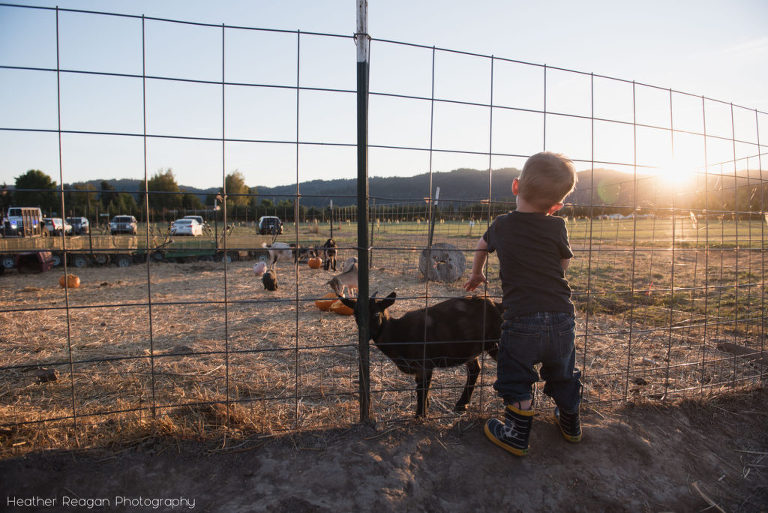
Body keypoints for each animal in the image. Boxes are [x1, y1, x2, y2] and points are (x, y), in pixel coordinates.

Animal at [339, 292, 501, 417]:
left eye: (376, 314)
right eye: (355, 314)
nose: (364, 336)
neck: (397, 332)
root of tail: (497, 304)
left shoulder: (425, 364)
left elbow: (421, 389)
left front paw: (420, 414)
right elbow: (421, 388)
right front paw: (425, 407)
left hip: (494, 341)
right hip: (471, 349)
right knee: (474, 370)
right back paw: (462, 404)